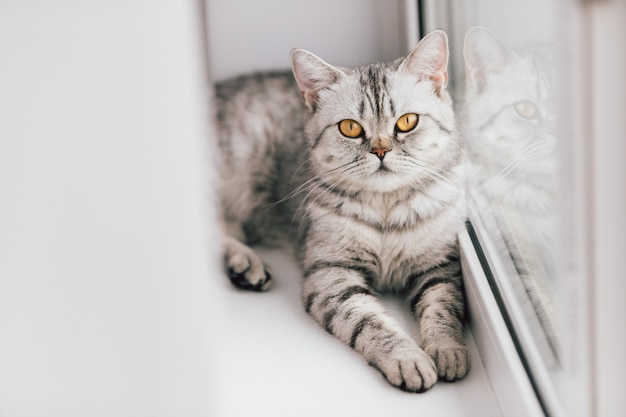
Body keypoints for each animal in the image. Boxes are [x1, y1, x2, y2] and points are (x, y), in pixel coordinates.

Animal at [213, 30, 468, 392]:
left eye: (407, 122)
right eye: (350, 128)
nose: (380, 150)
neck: (386, 208)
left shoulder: (440, 266)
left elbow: (443, 307)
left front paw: (447, 349)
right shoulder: (331, 273)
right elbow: (369, 321)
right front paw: (407, 357)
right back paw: (245, 261)